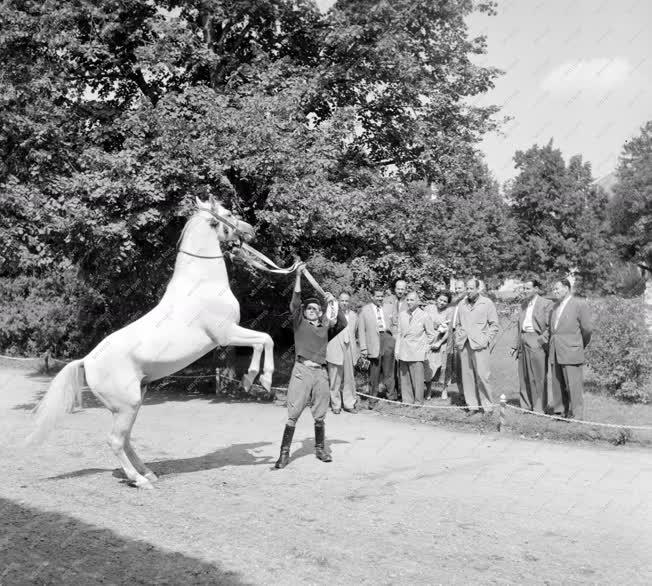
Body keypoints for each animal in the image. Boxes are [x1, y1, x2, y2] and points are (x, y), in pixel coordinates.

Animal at [27, 196, 272, 488]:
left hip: (134, 403)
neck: (202, 285)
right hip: (128, 404)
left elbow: (262, 341)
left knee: (126, 439)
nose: (250, 230)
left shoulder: (228, 335)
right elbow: (265, 340)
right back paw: (140, 481)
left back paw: (147, 473)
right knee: (115, 440)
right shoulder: (226, 334)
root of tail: (86, 361)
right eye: (229, 213)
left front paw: (254, 380)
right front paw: (258, 379)